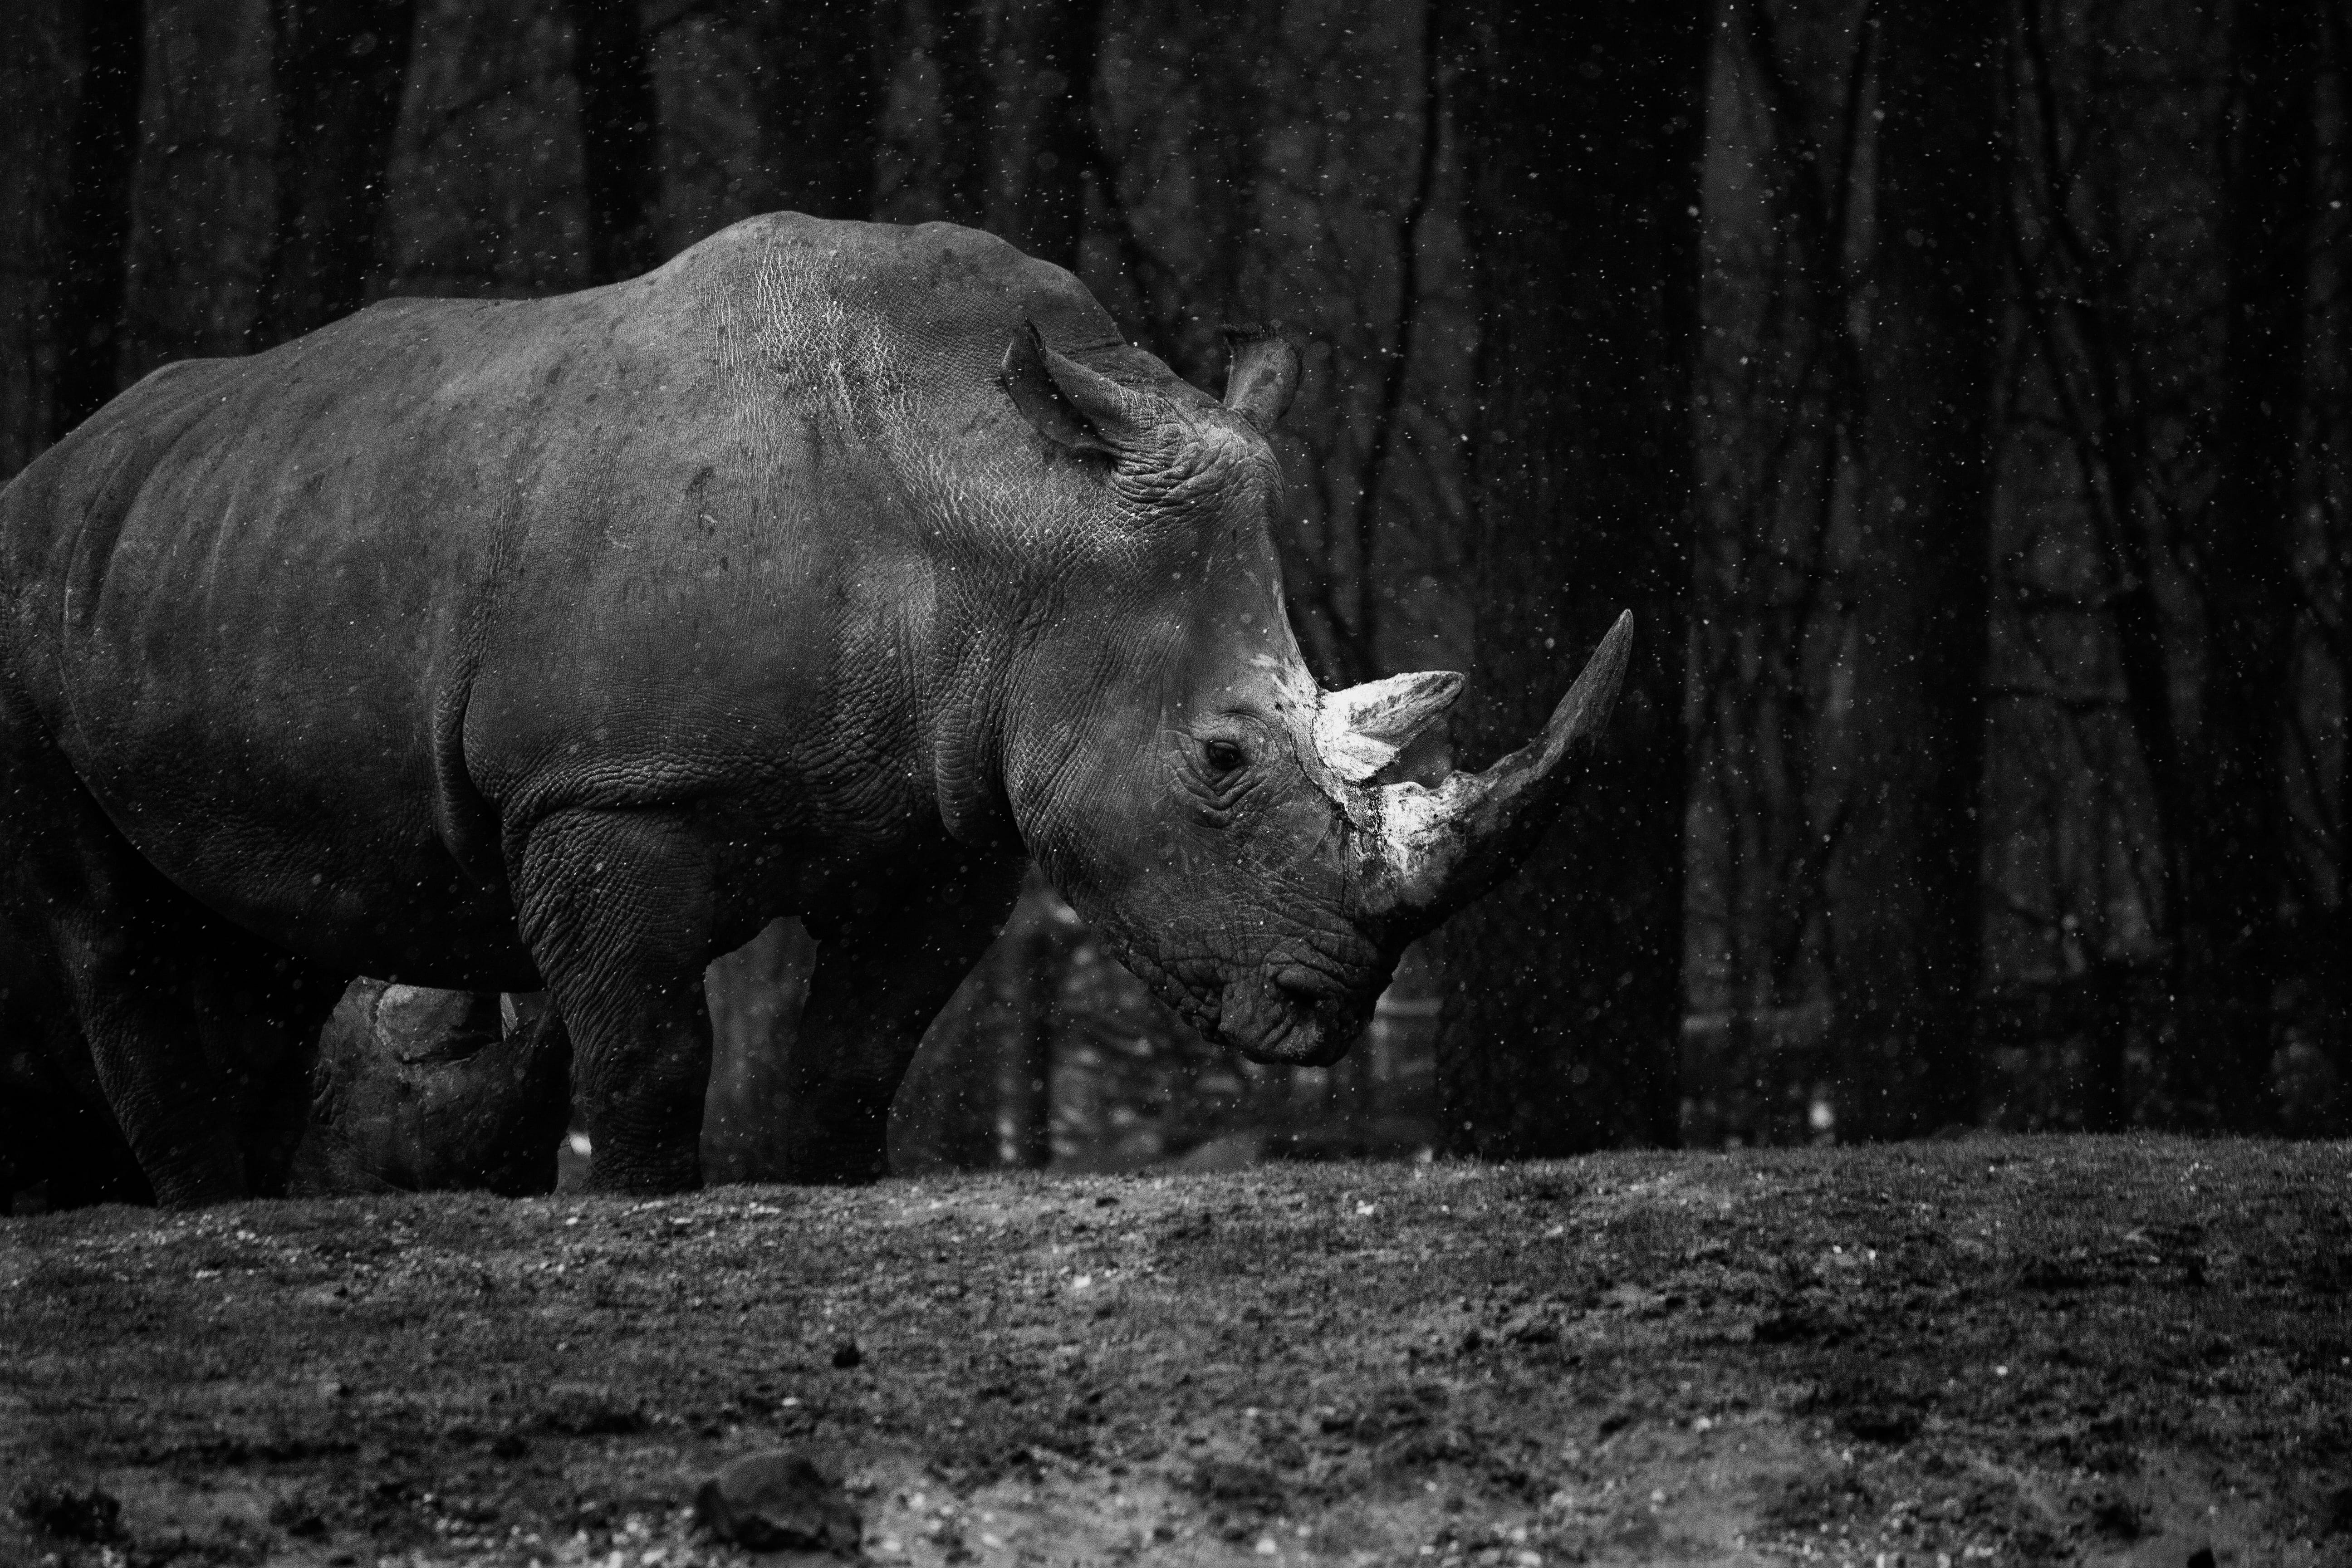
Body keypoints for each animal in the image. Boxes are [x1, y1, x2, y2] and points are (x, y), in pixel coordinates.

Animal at [0, 215, 1632, 1206]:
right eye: (1221, 758)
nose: (1326, 1007)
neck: (1003, 505)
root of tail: (59, 460)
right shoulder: (608, 786)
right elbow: (650, 1050)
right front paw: (632, 1202)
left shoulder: (952, 816)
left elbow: (854, 1051)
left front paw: (807, 1180)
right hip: (33, 595)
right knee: (114, 923)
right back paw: (210, 1206)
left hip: (219, 546)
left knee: (263, 925)